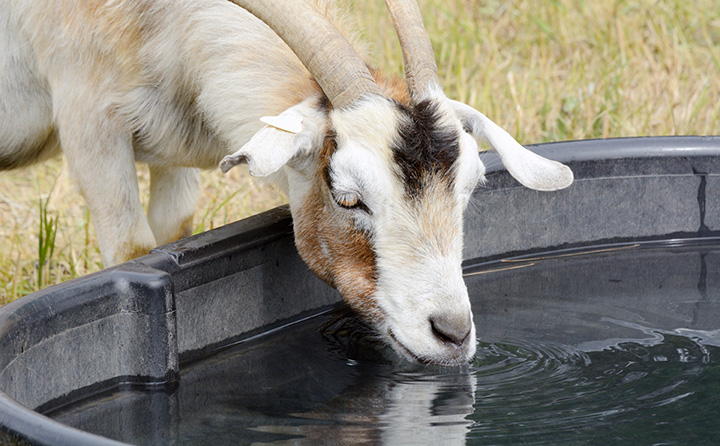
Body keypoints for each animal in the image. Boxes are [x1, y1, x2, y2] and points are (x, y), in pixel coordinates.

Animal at [0, 0, 573, 365]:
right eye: (348, 197)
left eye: (469, 187)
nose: (452, 334)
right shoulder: (91, 128)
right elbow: (132, 248)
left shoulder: (173, 149)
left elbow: (173, 230)